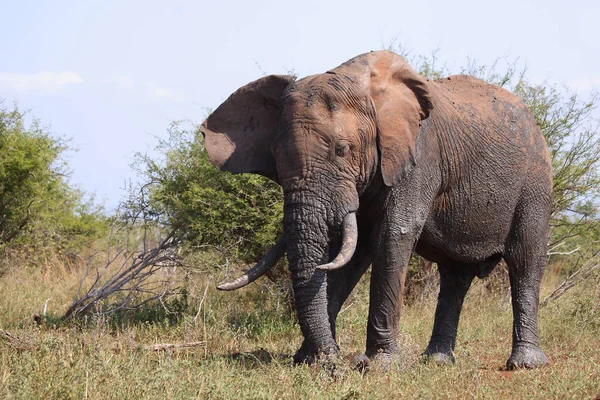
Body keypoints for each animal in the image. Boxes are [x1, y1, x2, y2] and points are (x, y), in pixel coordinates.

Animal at [202, 50, 552, 372]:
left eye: (342, 150)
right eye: (275, 157)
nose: (336, 361)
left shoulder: (417, 156)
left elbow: (392, 236)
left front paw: (377, 365)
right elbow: (351, 253)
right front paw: (313, 360)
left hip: (535, 183)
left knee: (525, 260)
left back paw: (525, 364)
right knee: (455, 276)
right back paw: (437, 362)